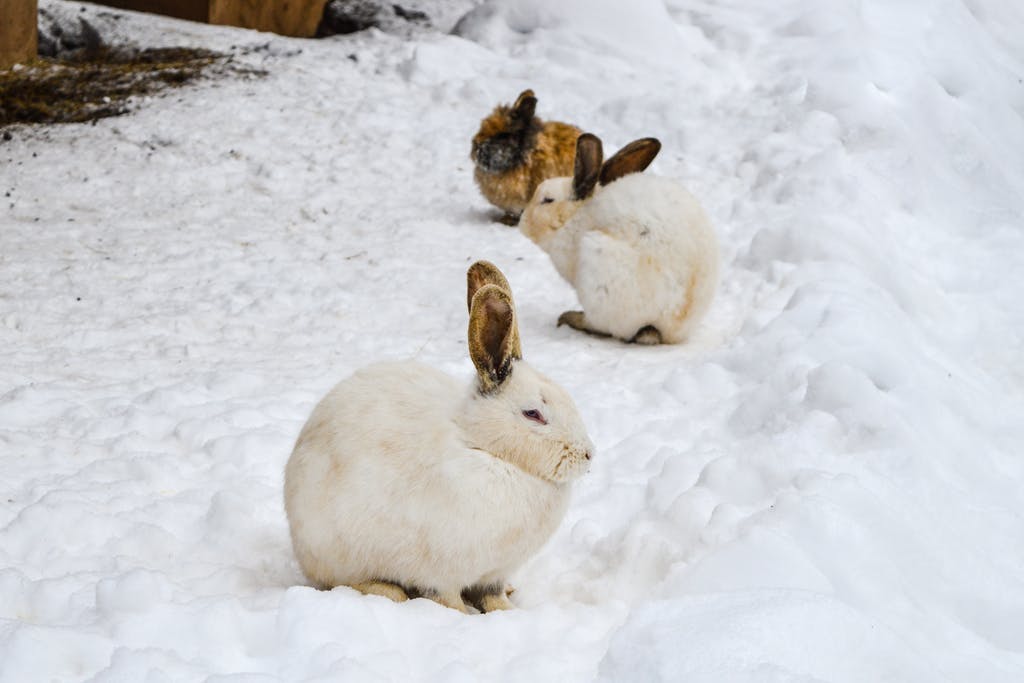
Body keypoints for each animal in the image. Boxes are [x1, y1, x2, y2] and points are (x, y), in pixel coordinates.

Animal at [283, 261, 594, 613]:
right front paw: (464, 614)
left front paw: (507, 611)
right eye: (533, 414)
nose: (587, 455)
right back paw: (388, 590)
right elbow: (447, 598)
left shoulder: (494, 573)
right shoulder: (441, 573)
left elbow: (493, 595)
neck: (483, 447)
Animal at [518, 133, 719, 345]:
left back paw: (570, 318)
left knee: (605, 326)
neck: (574, 216)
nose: (522, 220)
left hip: (597, 265)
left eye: (547, 200)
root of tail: (670, 327)